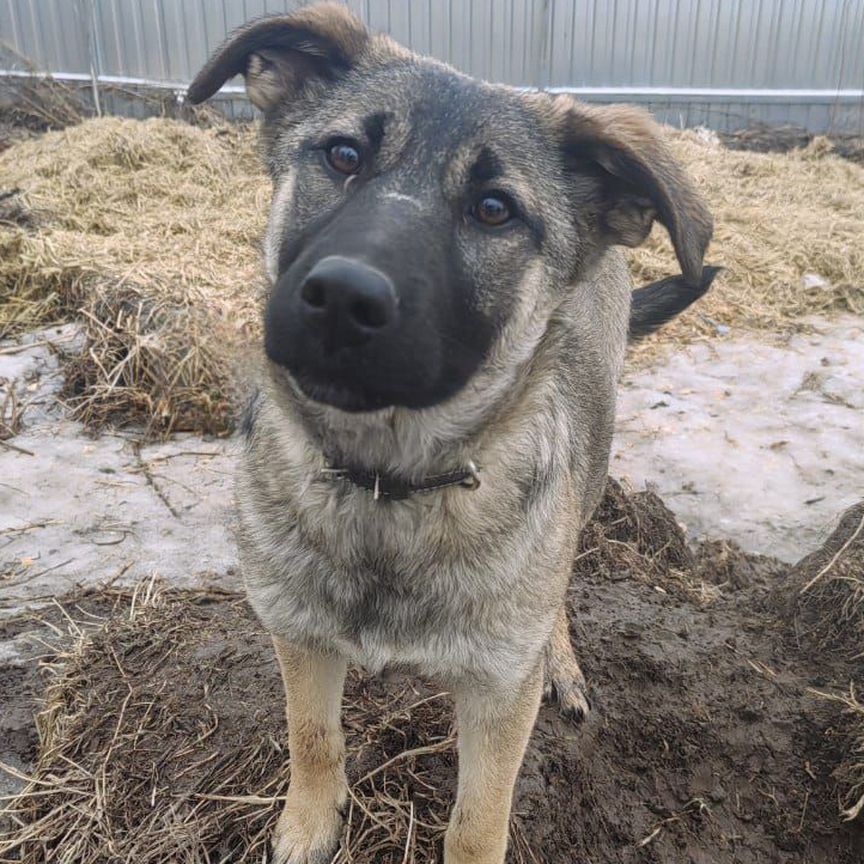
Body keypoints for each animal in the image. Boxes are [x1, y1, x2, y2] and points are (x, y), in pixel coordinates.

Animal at [189, 5, 716, 856]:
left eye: (495, 209)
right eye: (343, 156)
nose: (343, 298)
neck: (387, 483)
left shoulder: (499, 697)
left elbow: (479, 817)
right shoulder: (297, 634)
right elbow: (312, 735)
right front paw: (310, 821)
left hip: (587, 475)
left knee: (558, 577)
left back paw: (559, 655)